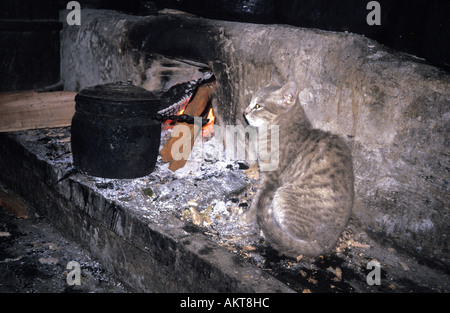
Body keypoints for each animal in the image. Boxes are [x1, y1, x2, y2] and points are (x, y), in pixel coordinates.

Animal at [243, 81, 356, 258]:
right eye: (251, 102)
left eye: (258, 106)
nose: (244, 111)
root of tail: (326, 243)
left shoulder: (271, 176)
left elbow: (257, 200)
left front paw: (247, 217)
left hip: (283, 195)